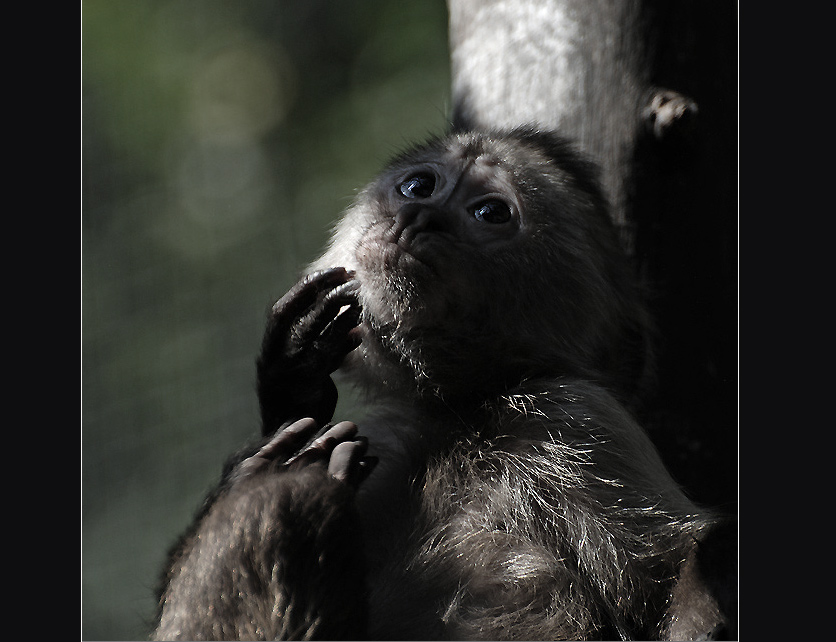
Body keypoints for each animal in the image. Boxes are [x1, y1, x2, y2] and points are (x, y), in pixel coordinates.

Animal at [153, 127, 736, 636]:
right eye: (419, 185)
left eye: (491, 212)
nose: (421, 214)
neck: (463, 416)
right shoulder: (393, 437)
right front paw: (293, 393)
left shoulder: (575, 415)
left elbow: (669, 588)